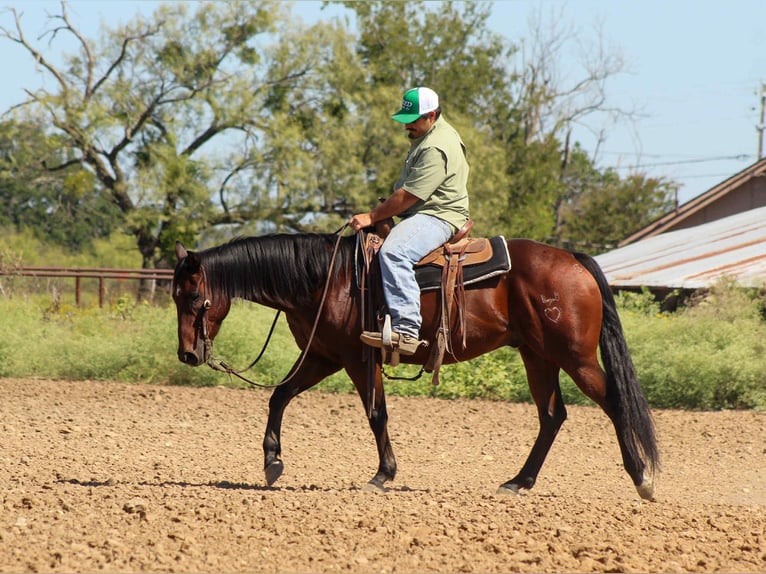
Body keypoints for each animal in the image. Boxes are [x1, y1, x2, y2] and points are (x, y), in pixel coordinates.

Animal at [172, 232, 659, 500]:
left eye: (193, 296)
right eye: (175, 295)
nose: (187, 355)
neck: (326, 278)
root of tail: (573, 259)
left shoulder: (357, 358)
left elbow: (376, 413)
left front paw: (382, 475)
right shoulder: (324, 356)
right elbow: (280, 395)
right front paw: (272, 461)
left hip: (574, 357)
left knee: (614, 402)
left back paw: (642, 479)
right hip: (537, 356)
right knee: (552, 416)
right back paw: (518, 482)